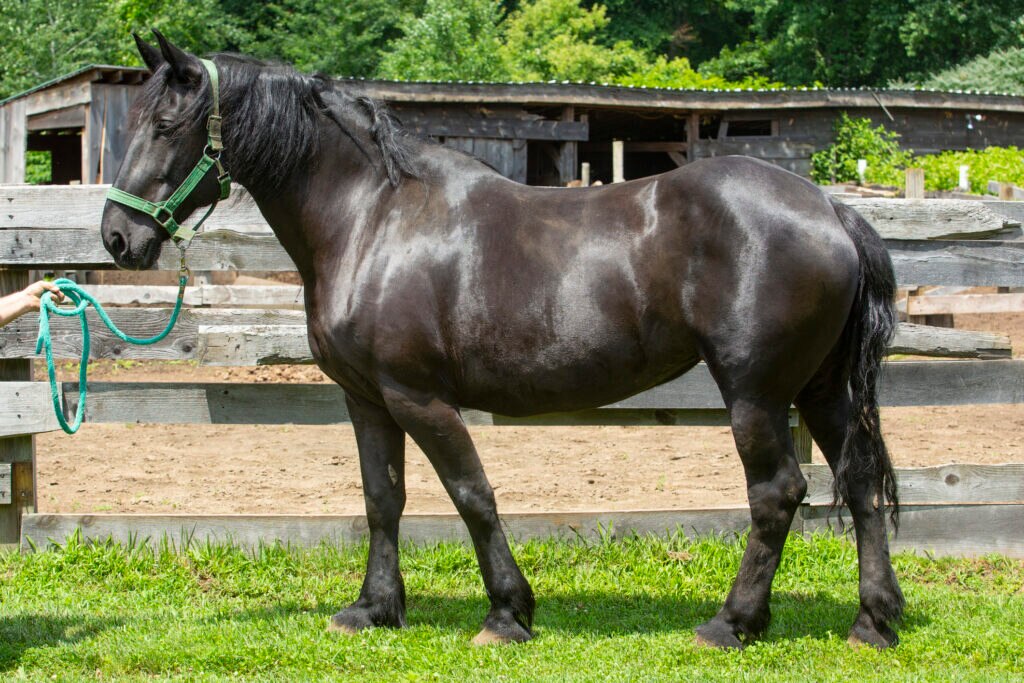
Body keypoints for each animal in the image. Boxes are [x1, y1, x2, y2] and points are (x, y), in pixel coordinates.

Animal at [100, 31, 904, 650]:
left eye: (166, 126)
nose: (117, 238)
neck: (372, 218)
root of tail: (830, 209)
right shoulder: (366, 399)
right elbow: (382, 498)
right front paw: (373, 608)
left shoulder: (419, 398)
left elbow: (471, 494)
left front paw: (507, 614)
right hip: (820, 389)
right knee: (859, 481)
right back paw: (873, 621)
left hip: (756, 393)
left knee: (777, 493)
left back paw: (730, 623)